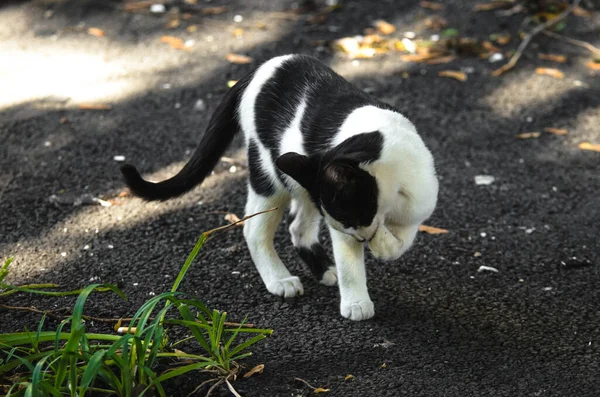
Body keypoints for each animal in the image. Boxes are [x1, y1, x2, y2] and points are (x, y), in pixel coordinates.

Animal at [123, 54, 440, 320]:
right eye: (348, 219)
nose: (361, 238)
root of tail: (259, 69)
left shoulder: (419, 201)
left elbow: (406, 233)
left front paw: (385, 244)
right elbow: (351, 261)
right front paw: (357, 302)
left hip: (299, 177)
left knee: (297, 227)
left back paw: (324, 269)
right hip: (269, 173)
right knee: (253, 229)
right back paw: (279, 279)